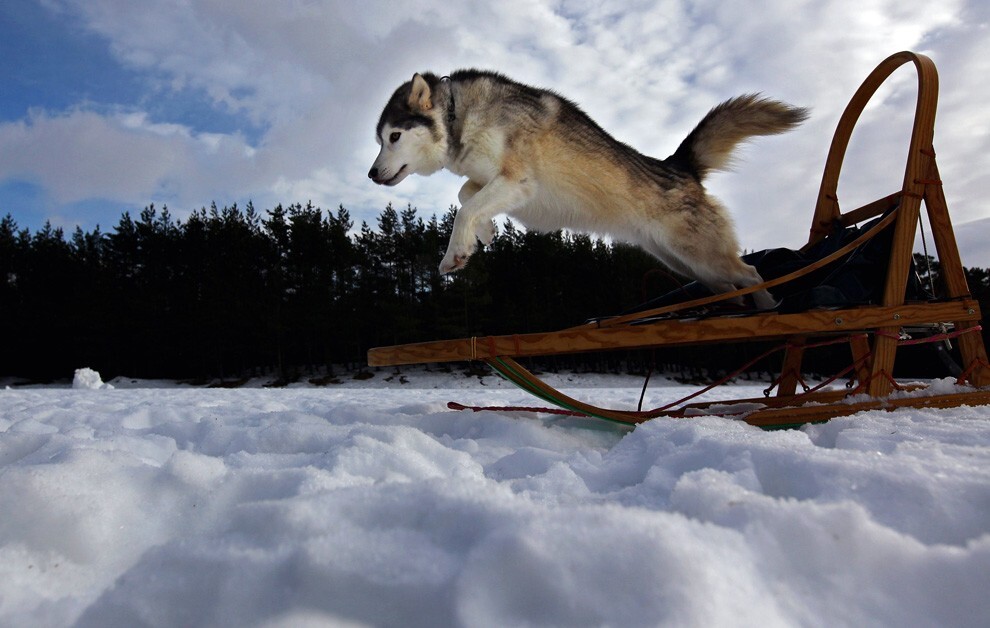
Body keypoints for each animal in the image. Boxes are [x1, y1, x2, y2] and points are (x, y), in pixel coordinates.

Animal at [368, 71, 808, 306]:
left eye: (393, 136)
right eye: (380, 139)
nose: (371, 174)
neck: (458, 115)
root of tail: (678, 166)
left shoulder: (518, 180)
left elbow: (464, 207)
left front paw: (456, 252)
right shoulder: (491, 179)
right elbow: (466, 196)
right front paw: (486, 231)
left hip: (703, 256)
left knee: (751, 272)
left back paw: (769, 310)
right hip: (687, 264)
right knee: (732, 286)